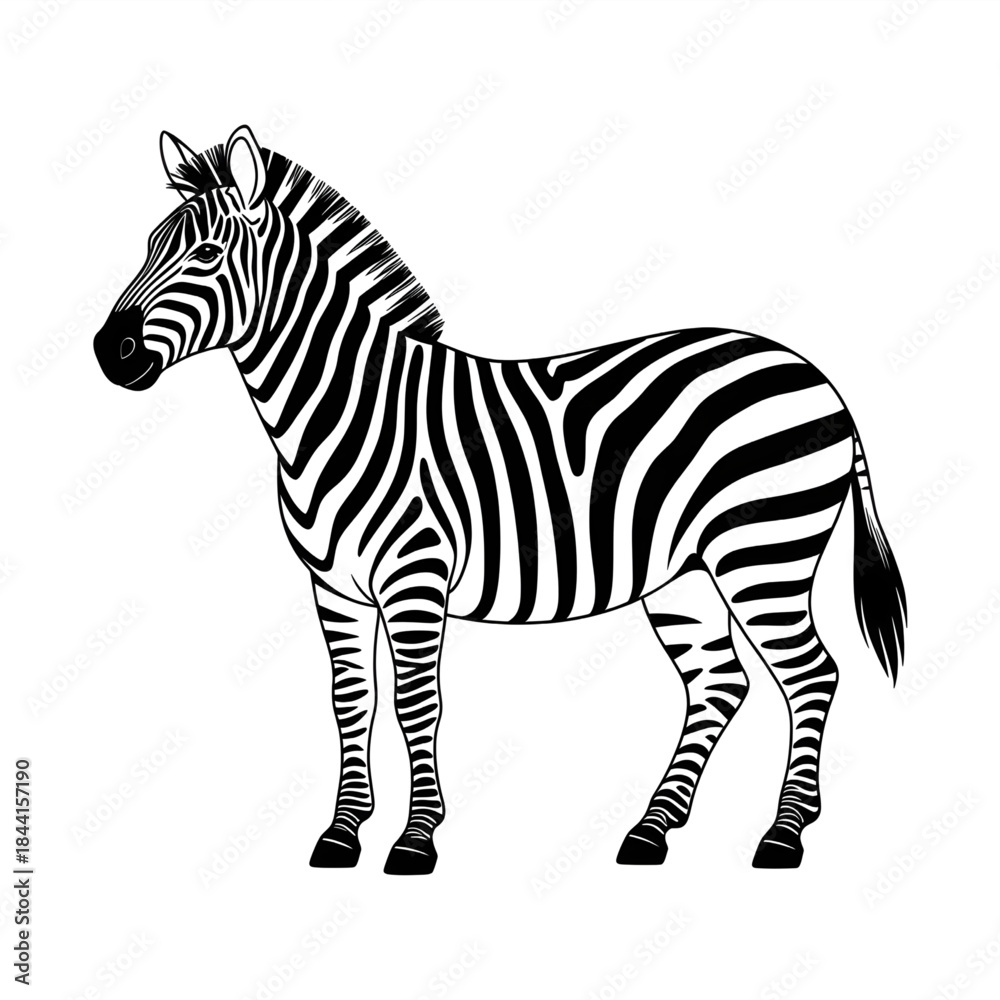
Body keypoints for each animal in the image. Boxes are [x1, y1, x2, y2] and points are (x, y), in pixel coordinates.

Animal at [94, 125, 906, 875]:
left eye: (205, 255)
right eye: (149, 246)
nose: (109, 353)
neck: (343, 409)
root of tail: (814, 373)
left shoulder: (415, 577)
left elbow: (415, 703)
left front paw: (416, 839)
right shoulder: (335, 588)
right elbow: (351, 702)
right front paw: (343, 832)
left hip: (762, 550)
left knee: (811, 675)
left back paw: (784, 833)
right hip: (685, 572)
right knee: (720, 682)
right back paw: (653, 829)